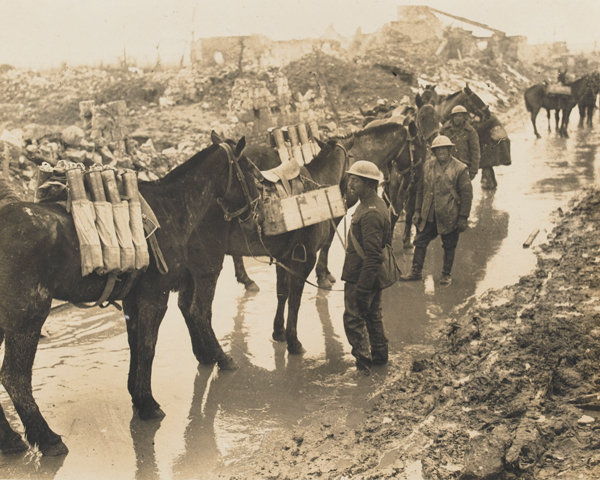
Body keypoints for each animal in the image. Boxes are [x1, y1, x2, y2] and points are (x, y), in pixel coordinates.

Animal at [0, 133, 260, 456]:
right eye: (249, 170)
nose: (255, 210)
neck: (171, 208)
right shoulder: (155, 296)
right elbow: (148, 348)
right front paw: (148, 405)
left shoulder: (132, 300)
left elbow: (136, 345)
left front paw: (138, 397)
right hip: (27, 316)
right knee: (15, 377)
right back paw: (47, 438)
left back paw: (10, 440)